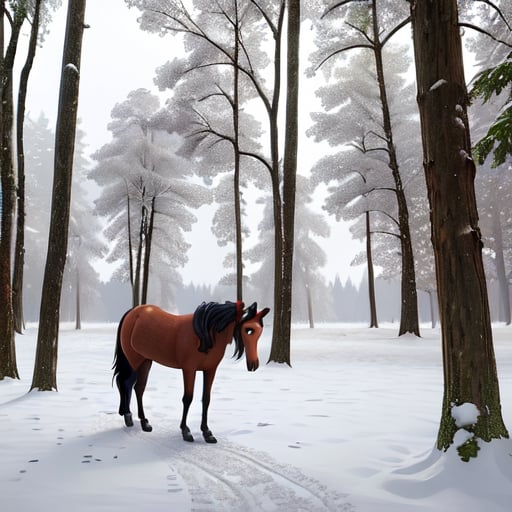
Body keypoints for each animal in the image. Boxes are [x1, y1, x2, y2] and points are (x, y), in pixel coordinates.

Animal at [112, 300, 270, 444]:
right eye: (248, 330)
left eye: (260, 331)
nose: (254, 364)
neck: (206, 334)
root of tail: (133, 313)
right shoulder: (189, 370)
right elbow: (187, 398)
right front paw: (186, 432)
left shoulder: (210, 370)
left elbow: (206, 399)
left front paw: (207, 433)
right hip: (134, 360)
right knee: (126, 383)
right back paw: (128, 417)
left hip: (146, 361)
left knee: (138, 388)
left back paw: (144, 423)